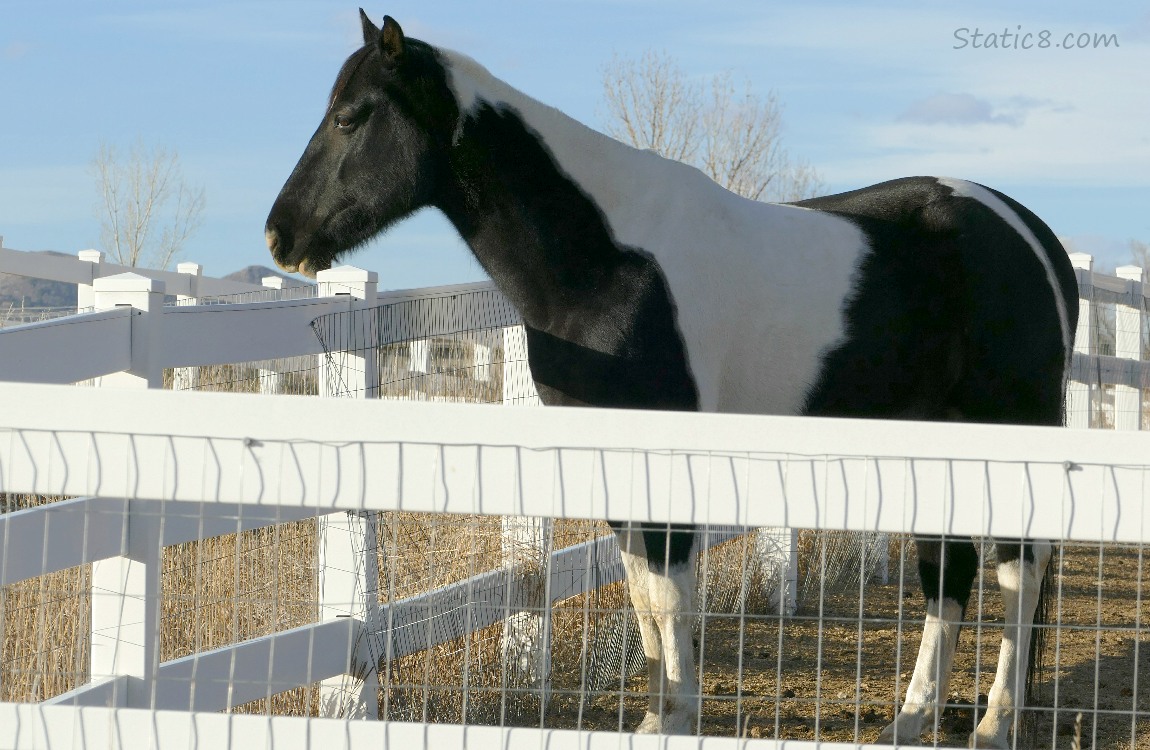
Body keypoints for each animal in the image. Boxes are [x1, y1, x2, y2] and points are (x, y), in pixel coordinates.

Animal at [265, 12, 1077, 747]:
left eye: (350, 117)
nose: (281, 234)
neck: (609, 265)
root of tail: (1031, 234)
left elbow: (667, 591)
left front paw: (679, 715)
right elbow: (643, 594)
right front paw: (658, 712)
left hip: (1011, 428)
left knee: (1021, 567)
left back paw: (995, 723)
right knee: (949, 567)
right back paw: (911, 721)